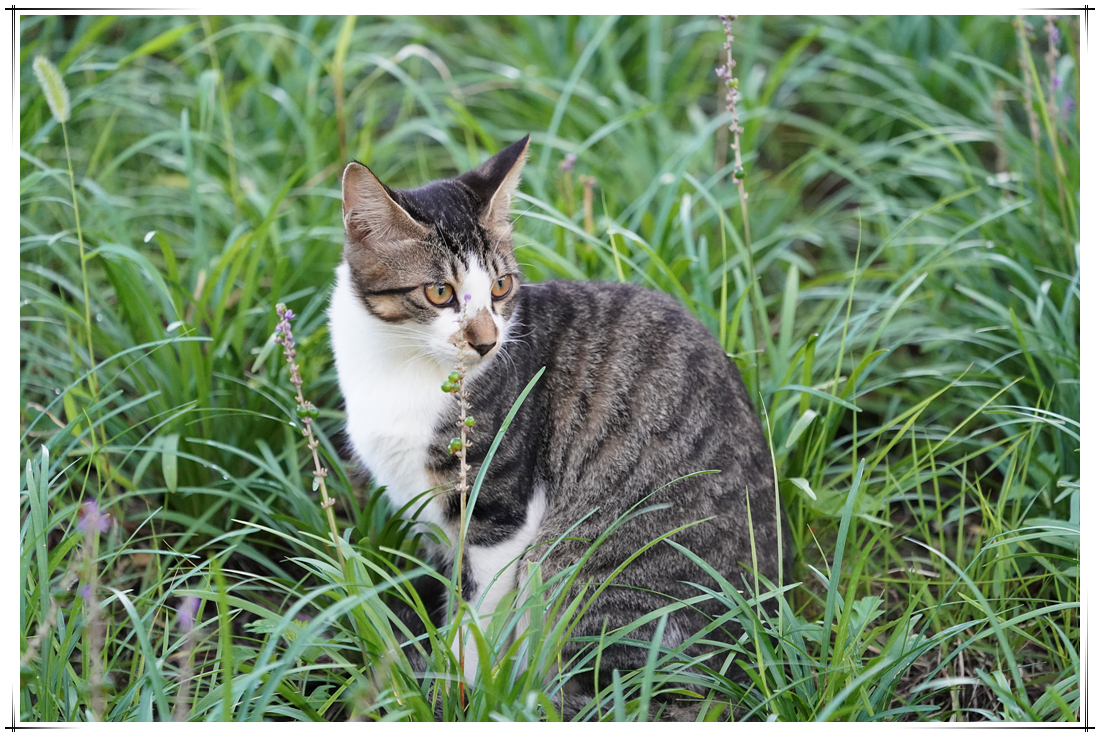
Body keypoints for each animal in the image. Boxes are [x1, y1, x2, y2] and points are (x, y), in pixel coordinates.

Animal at [328, 135, 786, 720]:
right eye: (439, 294)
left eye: (501, 287)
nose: (486, 342)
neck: (400, 366)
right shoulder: (432, 518)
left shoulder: (499, 513)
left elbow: (477, 615)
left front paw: (462, 694)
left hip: (583, 569)